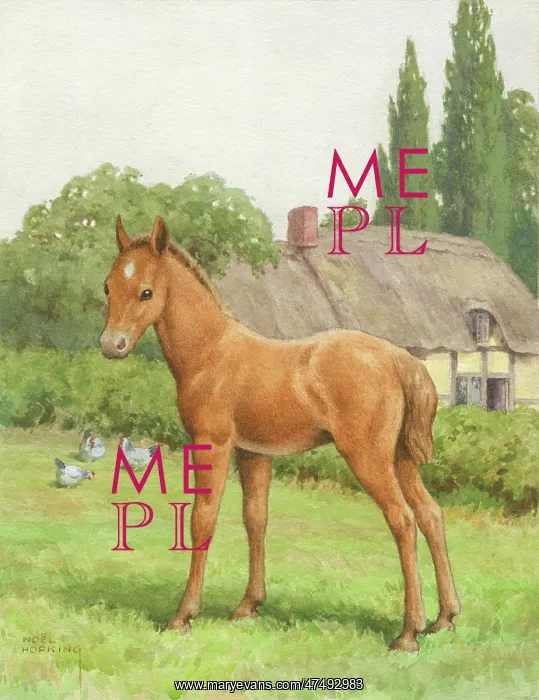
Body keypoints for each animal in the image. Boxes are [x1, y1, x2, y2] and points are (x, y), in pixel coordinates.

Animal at [100, 215, 460, 652]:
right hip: (400, 458)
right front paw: (248, 606)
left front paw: (183, 616)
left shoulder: (213, 445)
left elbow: (203, 519)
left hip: (368, 457)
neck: (213, 353)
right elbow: (255, 518)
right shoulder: (254, 453)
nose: (111, 345)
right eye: (108, 286)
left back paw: (409, 632)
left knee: (402, 519)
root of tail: (396, 357)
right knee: (430, 514)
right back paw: (445, 618)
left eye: (146, 291)